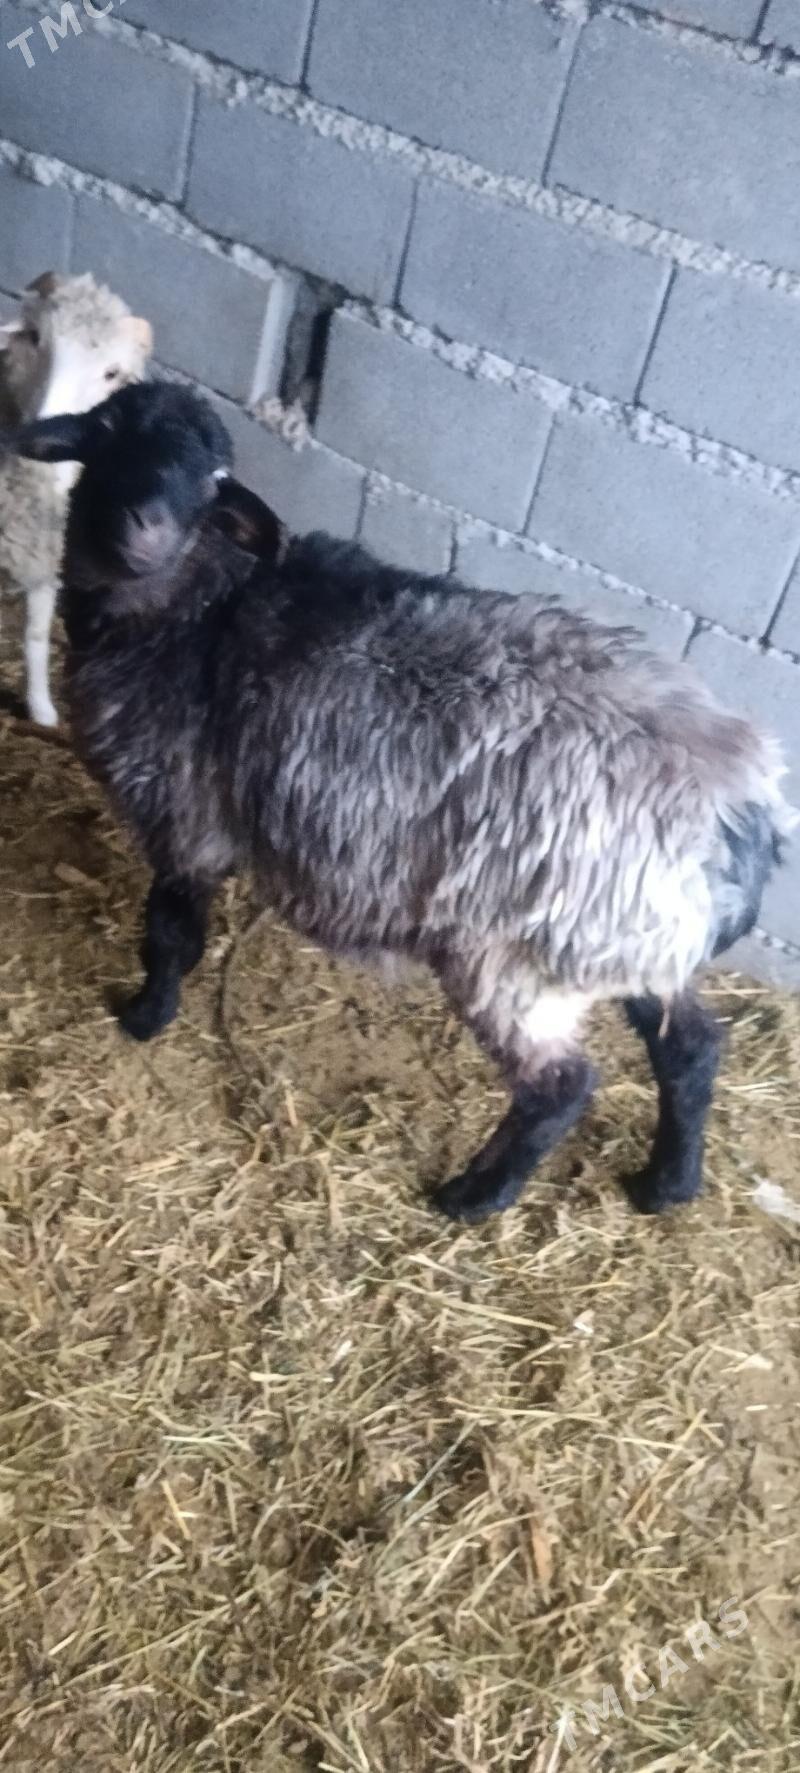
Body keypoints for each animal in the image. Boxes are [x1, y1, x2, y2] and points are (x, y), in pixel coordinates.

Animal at [0, 271, 152, 726]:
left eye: (111, 373)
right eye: (35, 337)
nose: (46, 429)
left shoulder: (46, 557)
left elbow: (35, 635)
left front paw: (42, 710)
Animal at [4, 381, 794, 1222]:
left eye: (214, 477)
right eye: (107, 433)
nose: (144, 525)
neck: (197, 605)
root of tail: (745, 815)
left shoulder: (186, 819)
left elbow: (169, 933)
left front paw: (145, 1017)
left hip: (514, 960)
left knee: (561, 1085)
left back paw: (477, 1196)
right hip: (627, 941)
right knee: (690, 1044)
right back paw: (667, 1183)